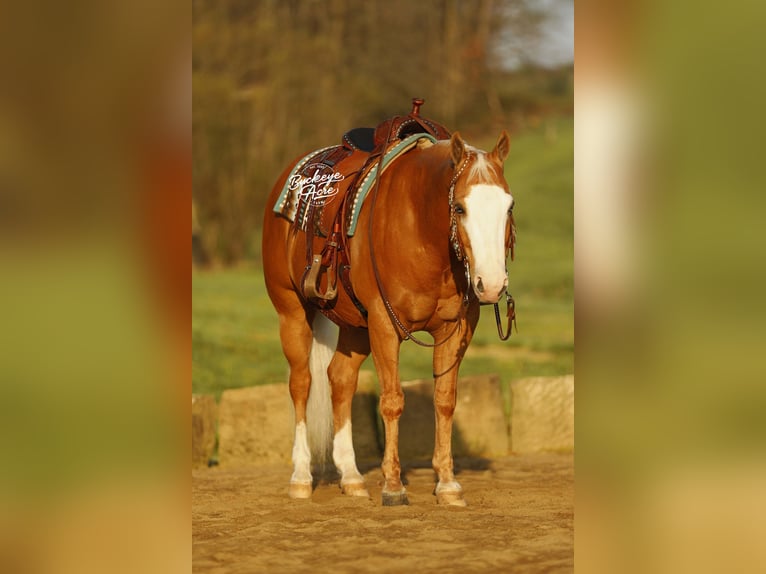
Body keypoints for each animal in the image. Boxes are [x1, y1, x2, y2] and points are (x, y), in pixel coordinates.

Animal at [262, 124, 514, 506]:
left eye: (508, 205)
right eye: (459, 207)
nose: (493, 284)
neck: (420, 232)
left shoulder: (455, 331)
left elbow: (445, 401)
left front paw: (447, 484)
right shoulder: (384, 323)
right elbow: (393, 401)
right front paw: (393, 486)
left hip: (355, 326)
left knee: (340, 379)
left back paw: (351, 477)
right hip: (292, 311)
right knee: (302, 383)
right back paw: (301, 477)